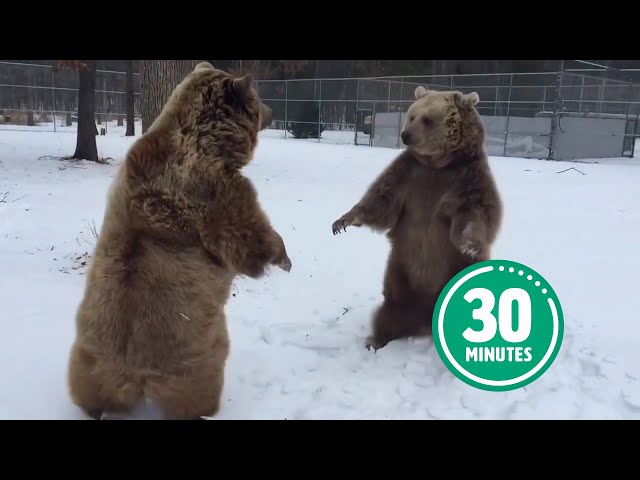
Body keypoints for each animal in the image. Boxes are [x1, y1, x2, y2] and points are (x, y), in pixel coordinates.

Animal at [66, 62, 292, 420]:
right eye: (258, 98)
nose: (272, 111)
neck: (211, 140)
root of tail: (133, 375)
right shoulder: (214, 190)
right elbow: (247, 234)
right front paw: (282, 256)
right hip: (196, 362)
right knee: (199, 391)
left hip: (88, 362)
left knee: (86, 389)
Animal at [331, 85, 503, 351]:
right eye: (412, 116)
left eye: (428, 119)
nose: (406, 135)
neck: (437, 164)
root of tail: (427, 316)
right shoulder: (408, 176)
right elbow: (379, 201)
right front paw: (342, 222)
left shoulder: (468, 179)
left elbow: (475, 215)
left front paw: (470, 245)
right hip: (400, 275)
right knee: (391, 311)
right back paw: (377, 340)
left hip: (456, 271)